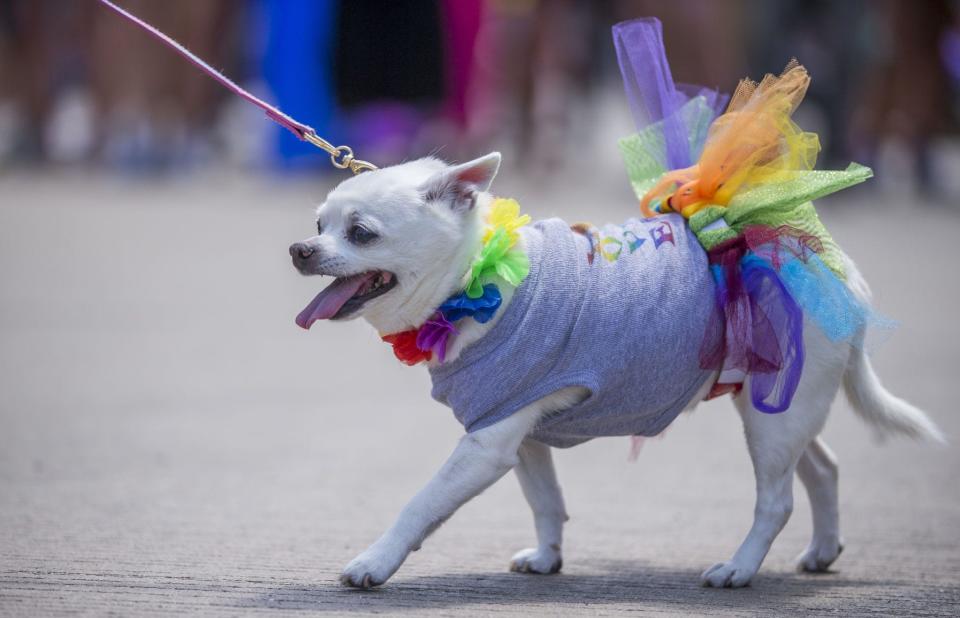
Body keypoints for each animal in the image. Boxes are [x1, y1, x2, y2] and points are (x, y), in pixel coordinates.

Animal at [286, 152, 944, 584]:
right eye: (319, 225)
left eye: (360, 233)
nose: (299, 249)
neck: (479, 279)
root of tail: (837, 269)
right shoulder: (517, 433)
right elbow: (546, 500)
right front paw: (548, 557)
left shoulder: (485, 444)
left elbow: (420, 505)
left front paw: (375, 561)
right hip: (776, 402)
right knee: (824, 469)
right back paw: (823, 551)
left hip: (773, 418)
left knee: (777, 500)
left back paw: (738, 568)